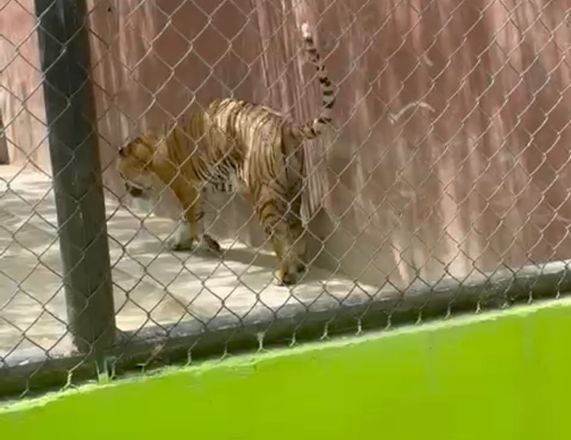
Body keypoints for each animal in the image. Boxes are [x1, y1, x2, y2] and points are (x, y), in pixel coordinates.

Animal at [118, 22, 338, 288]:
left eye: (121, 175)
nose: (126, 190)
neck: (149, 151)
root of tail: (284, 124)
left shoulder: (186, 188)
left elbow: (194, 221)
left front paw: (206, 244)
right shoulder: (197, 190)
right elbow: (189, 220)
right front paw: (180, 241)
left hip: (264, 196)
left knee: (280, 233)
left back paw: (284, 274)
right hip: (294, 189)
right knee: (297, 227)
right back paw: (299, 266)